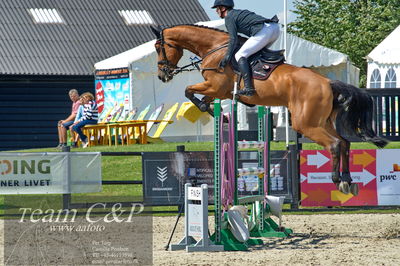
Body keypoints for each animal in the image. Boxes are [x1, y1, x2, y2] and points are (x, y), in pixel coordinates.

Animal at [151, 24, 388, 195]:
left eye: (158, 47)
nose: (162, 76)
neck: (214, 48)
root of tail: (328, 82)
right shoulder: (220, 92)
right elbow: (197, 96)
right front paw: (210, 110)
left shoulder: (215, 87)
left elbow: (188, 91)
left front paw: (203, 107)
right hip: (321, 121)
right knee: (345, 143)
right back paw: (347, 180)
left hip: (306, 123)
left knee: (335, 144)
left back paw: (337, 179)